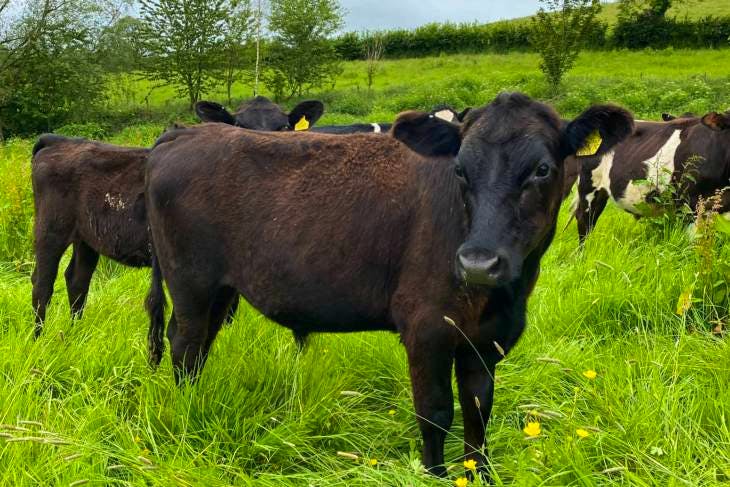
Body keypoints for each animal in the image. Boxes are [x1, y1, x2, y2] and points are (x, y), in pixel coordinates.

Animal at [144, 91, 632, 476]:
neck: (498, 298)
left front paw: (479, 475)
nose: (477, 262)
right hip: (190, 282)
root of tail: (182, 135)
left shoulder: (488, 341)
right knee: (184, 345)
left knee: (199, 347)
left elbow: (478, 413)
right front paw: (436, 476)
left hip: (218, 290)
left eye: (542, 170)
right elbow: (436, 413)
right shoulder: (427, 329)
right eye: (460, 169)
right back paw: (186, 415)